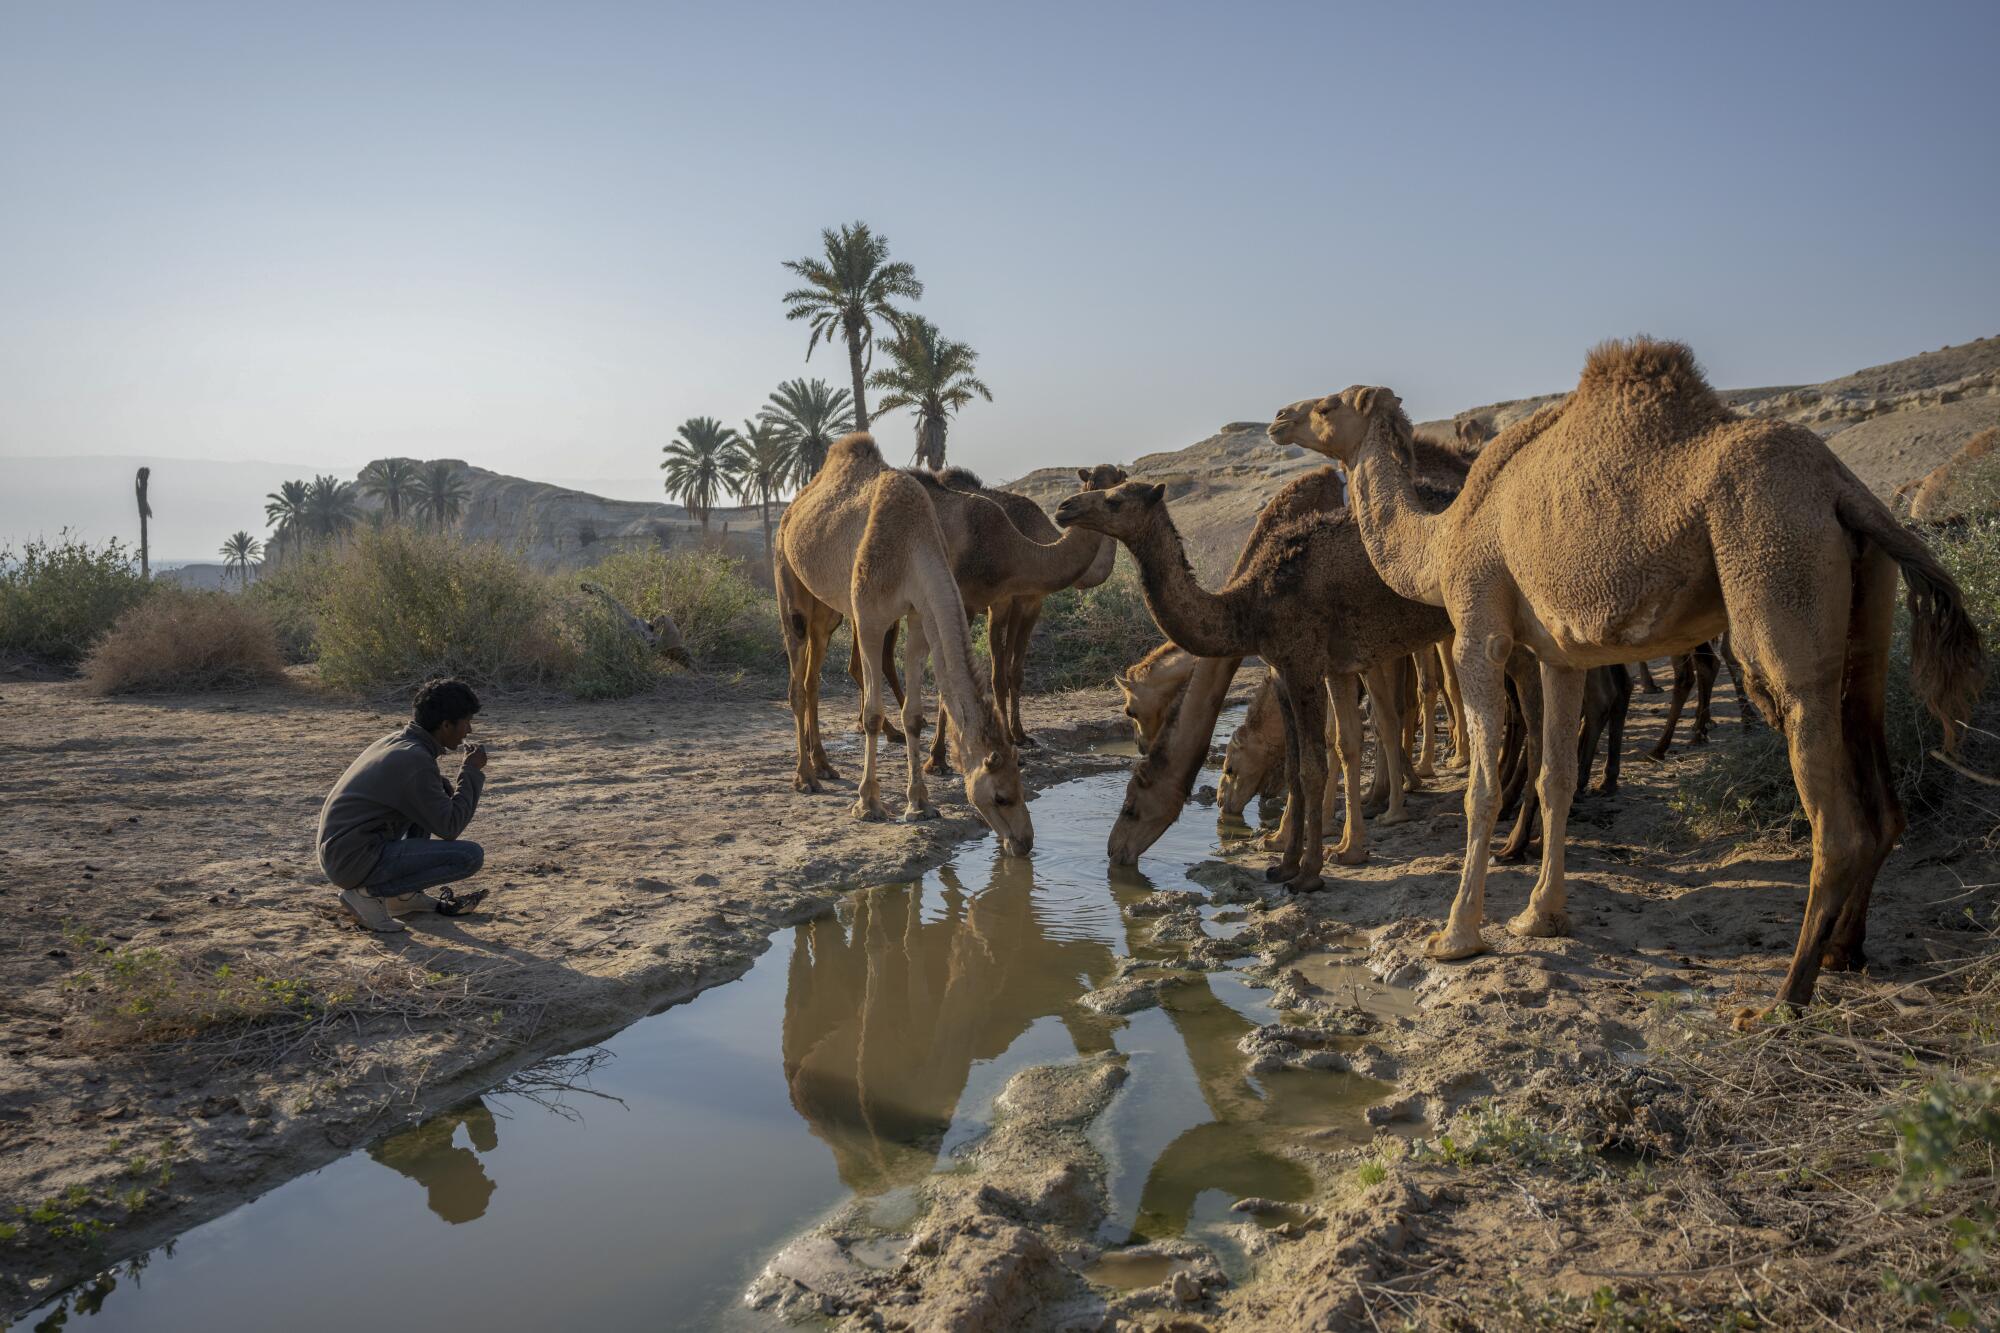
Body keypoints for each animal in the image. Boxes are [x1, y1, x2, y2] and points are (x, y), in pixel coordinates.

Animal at [772, 430, 1040, 856]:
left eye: (1022, 788)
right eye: (1001, 796)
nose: (1024, 842)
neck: (912, 545)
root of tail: (795, 505)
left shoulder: (917, 616)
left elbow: (913, 714)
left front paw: (920, 804)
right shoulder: (869, 617)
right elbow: (872, 714)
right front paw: (868, 804)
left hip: (827, 612)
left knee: (813, 678)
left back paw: (825, 766)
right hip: (788, 578)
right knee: (797, 678)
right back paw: (805, 778)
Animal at [1056, 472, 1448, 888]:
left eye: (1114, 500)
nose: (1065, 507)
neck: (1250, 605)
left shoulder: (1304, 663)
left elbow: (1313, 766)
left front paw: (1309, 874)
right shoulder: (1311, 668)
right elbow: (1303, 762)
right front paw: (1289, 862)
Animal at [1288, 334, 1976, 1016]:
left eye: (1325, 406)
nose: (1278, 417)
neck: (1442, 538)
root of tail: (1842, 484)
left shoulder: (1477, 626)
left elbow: (1479, 788)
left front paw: (1456, 935)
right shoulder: (1558, 654)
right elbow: (1557, 777)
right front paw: (1542, 916)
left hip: (1776, 562)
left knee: (1830, 804)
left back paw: (1782, 998)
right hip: (1869, 595)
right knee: (1878, 774)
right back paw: (1844, 952)